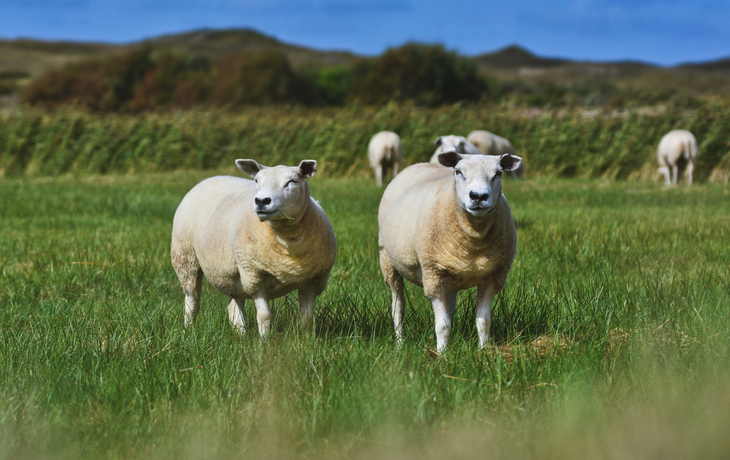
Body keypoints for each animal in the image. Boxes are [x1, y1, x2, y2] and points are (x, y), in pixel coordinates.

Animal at [171, 159, 337, 337]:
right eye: (257, 180)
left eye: (293, 181)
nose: (262, 201)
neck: (287, 243)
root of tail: (211, 178)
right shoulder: (255, 276)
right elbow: (264, 317)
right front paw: (264, 342)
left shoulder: (313, 280)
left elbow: (307, 318)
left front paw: (308, 341)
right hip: (185, 258)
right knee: (192, 300)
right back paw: (188, 331)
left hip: (233, 272)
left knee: (234, 304)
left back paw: (241, 334)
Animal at [378, 151, 522, 351]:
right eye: (458, 171)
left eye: (498, 173)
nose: (478, 196)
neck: (474, 238)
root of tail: (421, 163)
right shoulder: (434, 276)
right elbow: (442, 325)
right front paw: (442, 353)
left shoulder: (493, 278)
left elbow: (483, 321)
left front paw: (483, 351)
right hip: (387, 259)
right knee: (398, 306)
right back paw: (400, 342)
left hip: (452, 274)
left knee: (449, 306)